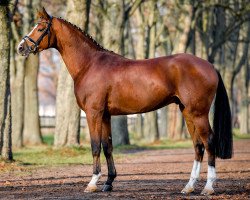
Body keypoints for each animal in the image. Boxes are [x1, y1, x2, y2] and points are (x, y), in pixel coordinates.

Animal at [17, 8, 232, 195]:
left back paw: (208, 187)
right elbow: (107, 147)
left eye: (40, 28)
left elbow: (95, 146)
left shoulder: (93, 113)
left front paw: (93, 183)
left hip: (199, 113)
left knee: (209, 142)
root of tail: (209, 65)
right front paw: (108, 183)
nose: (21, 47)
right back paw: (188, 187)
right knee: (198, 146)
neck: (89, 64)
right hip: (187, 112)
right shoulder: (105, 115)